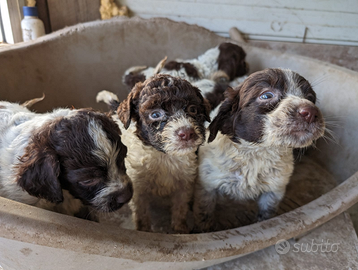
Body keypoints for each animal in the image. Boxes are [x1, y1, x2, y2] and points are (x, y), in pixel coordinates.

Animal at [96, 74, 211, 234]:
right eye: (155, 114)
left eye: (193, 109)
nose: (187, 133)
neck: (164, 155)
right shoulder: (138, 188)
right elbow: (142, 213)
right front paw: (144, 230)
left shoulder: (184, 184)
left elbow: (180, 207)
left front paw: (180, 228)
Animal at [194, 68, 326, 232]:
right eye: (266, 95)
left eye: (310, 98)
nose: (311, 112)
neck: (257, 152)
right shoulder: (207, 186)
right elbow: (204, 213)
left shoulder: (274, 189)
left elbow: (266, 215)